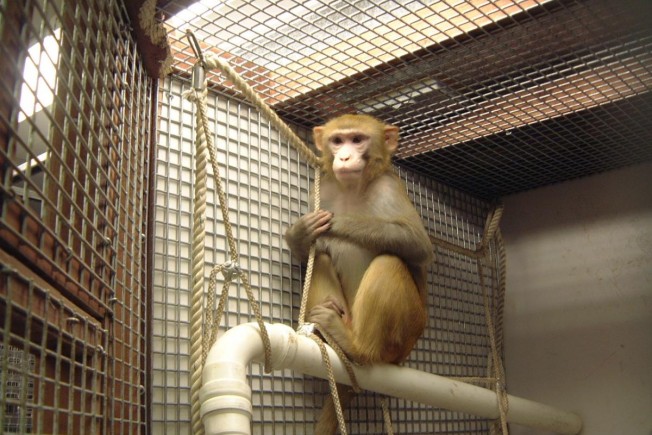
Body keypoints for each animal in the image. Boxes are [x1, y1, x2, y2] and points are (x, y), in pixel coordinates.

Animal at [286, 114, 432, 434]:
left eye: (357, 140)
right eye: (337, 141)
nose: (344, 157)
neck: (353, 189)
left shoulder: (389, 186)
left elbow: (417, 244)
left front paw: (338, 222)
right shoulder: (325, 190)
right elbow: (311, 251)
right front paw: (300, 234)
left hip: (402, 337)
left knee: (389, 261)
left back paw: (357, 348)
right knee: (323, 259)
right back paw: (330, 331)